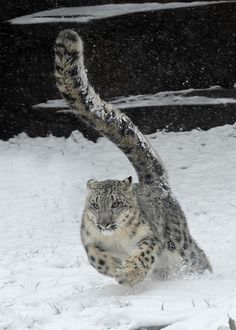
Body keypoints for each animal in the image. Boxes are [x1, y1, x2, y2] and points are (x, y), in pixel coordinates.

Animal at [54, 29, 212, 284]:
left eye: (116, 203)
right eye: (95, 205)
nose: (105, 223)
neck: (115, 239)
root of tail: (158, 186)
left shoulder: (150, 238)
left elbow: (144, 254)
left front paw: (129, 273)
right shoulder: (89, 241)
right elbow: (96, 257)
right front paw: (115, 268)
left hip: (179, 244)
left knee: (197, 257)